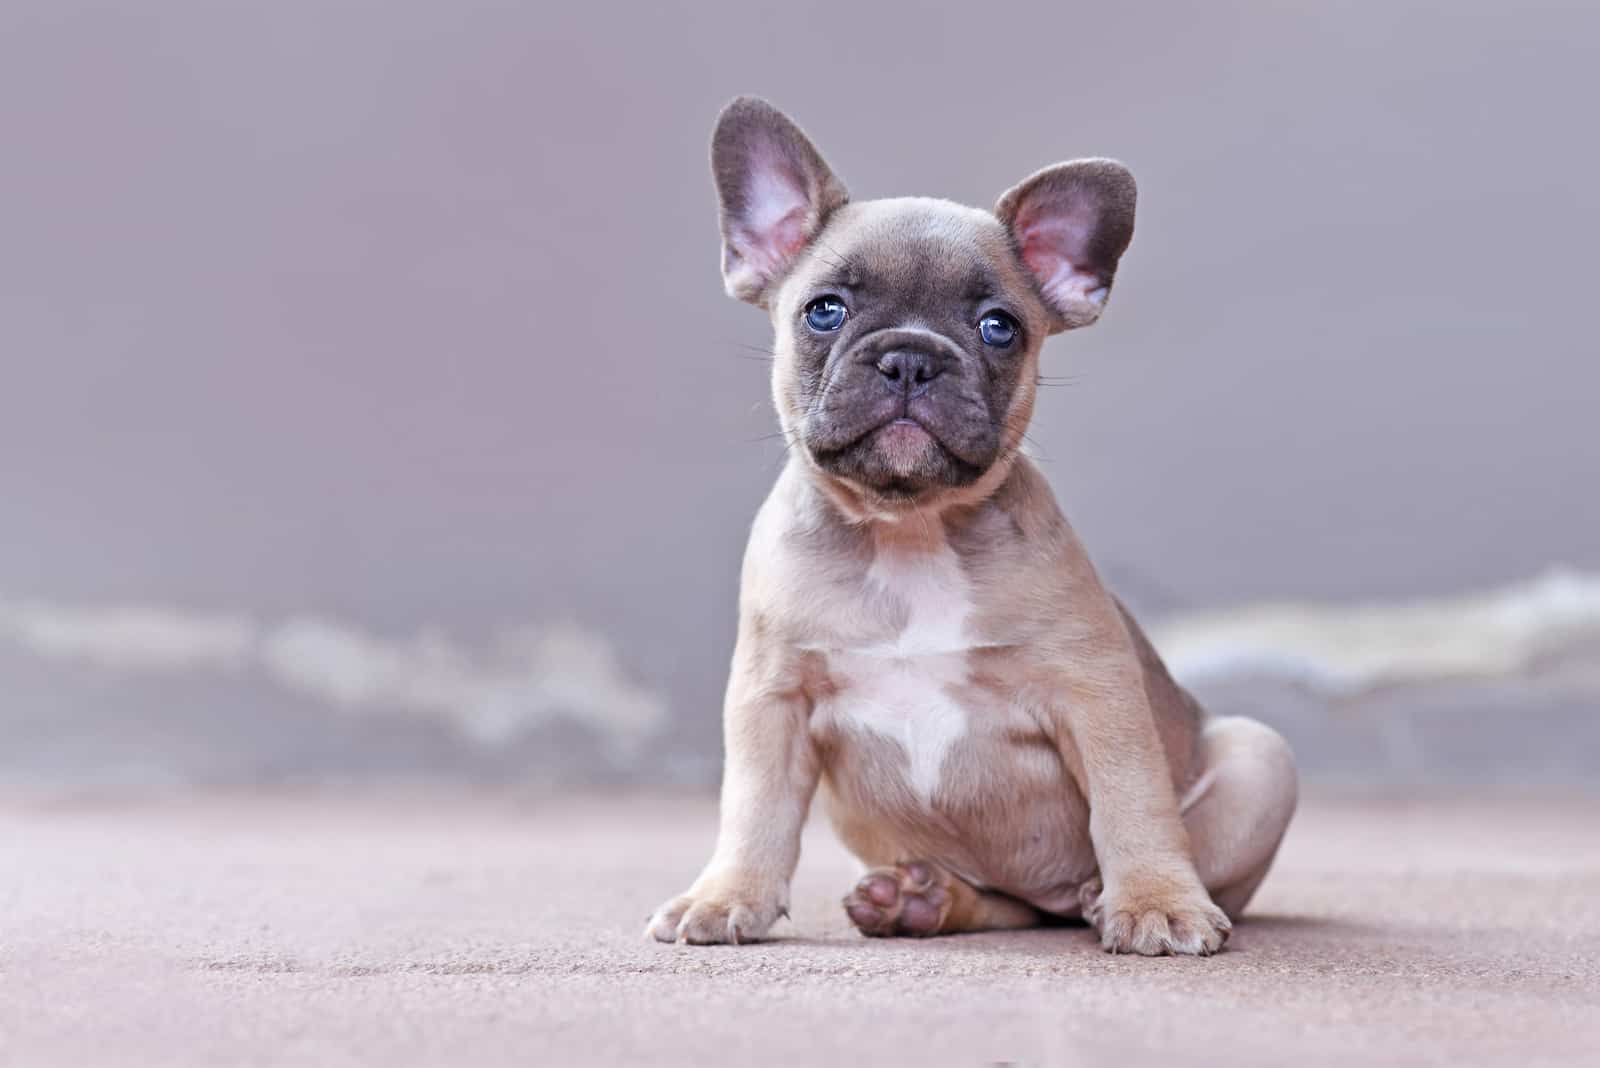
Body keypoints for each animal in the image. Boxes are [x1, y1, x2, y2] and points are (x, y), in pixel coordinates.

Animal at [643, 95, 1292, 952]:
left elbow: (1132, 803)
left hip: (1262, 759)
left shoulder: (1098, 693)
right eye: (824, 311)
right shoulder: (770, 700)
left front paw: (1159, 901)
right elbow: (753, 809)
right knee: (1002, 906)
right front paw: (724, 896)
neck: (909, 527)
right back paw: (920, 900)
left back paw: (1102, 895)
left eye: (998, 327)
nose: (912, 358)